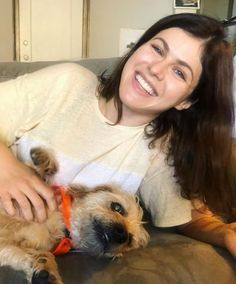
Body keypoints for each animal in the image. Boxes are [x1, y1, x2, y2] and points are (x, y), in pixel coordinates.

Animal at [0, 149, 149, 284]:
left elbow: (35, 254)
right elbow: (35, 173)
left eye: (130, 240)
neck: (61, 224)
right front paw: (43, 162)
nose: (122, 235)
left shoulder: (9, 247)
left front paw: (45, 272)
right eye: (117, 208)